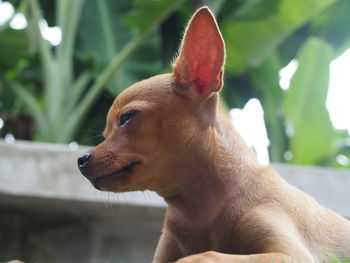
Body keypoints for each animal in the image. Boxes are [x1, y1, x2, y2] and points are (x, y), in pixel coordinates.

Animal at [78, 6, 350, 263]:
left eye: (127, 118)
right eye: (106, 131)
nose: (81, 159)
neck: (201, 214)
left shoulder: (290, 254)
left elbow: (206, 255)